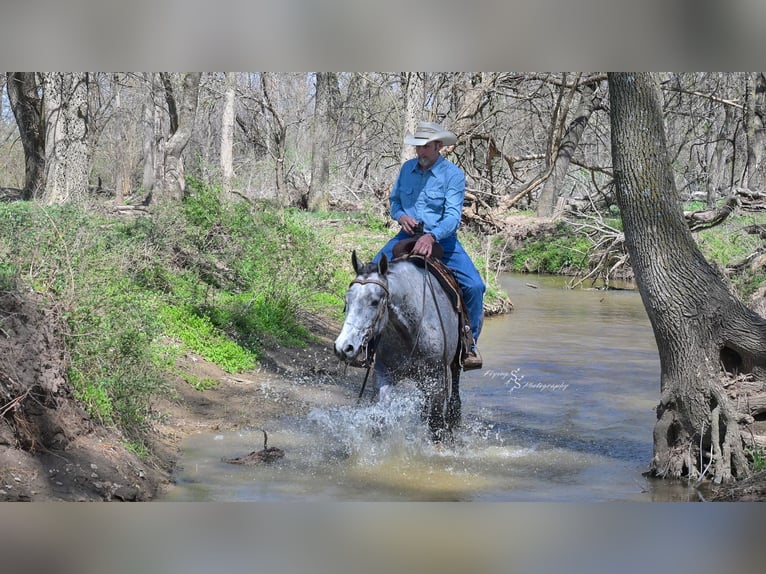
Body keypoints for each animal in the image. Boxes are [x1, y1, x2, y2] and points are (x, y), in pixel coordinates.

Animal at [334, 250, 462, 441]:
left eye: (374, 301)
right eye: (347, 299)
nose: (343, 347)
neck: (413, 330)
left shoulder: (437, 377)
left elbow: (436, 422)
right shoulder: (384, 372)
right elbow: (380, 415)